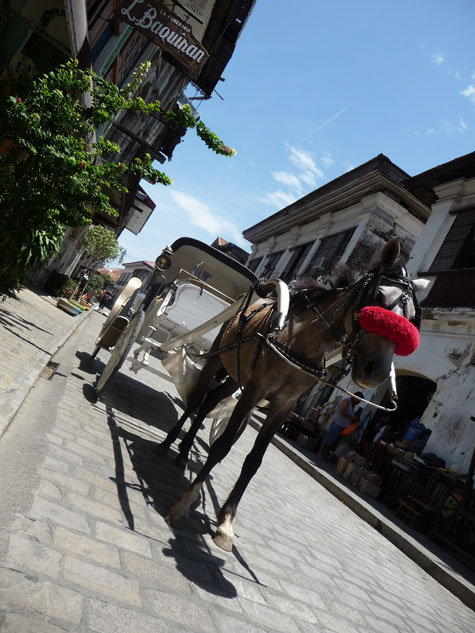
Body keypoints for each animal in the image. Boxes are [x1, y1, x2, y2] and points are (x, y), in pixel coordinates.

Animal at [158, 237, 430, 548]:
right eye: (378, 296)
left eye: (413, 318)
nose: (377, 371)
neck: (299, 344)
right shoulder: (254, 392)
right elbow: (222, 446)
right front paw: (185, 503)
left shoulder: (283, 406)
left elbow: (254, 461)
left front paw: (226, 522)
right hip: (217, 361)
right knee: (196, 402)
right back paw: (168, 444)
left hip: (235, 375)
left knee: (209, 403)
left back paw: (183, 451)